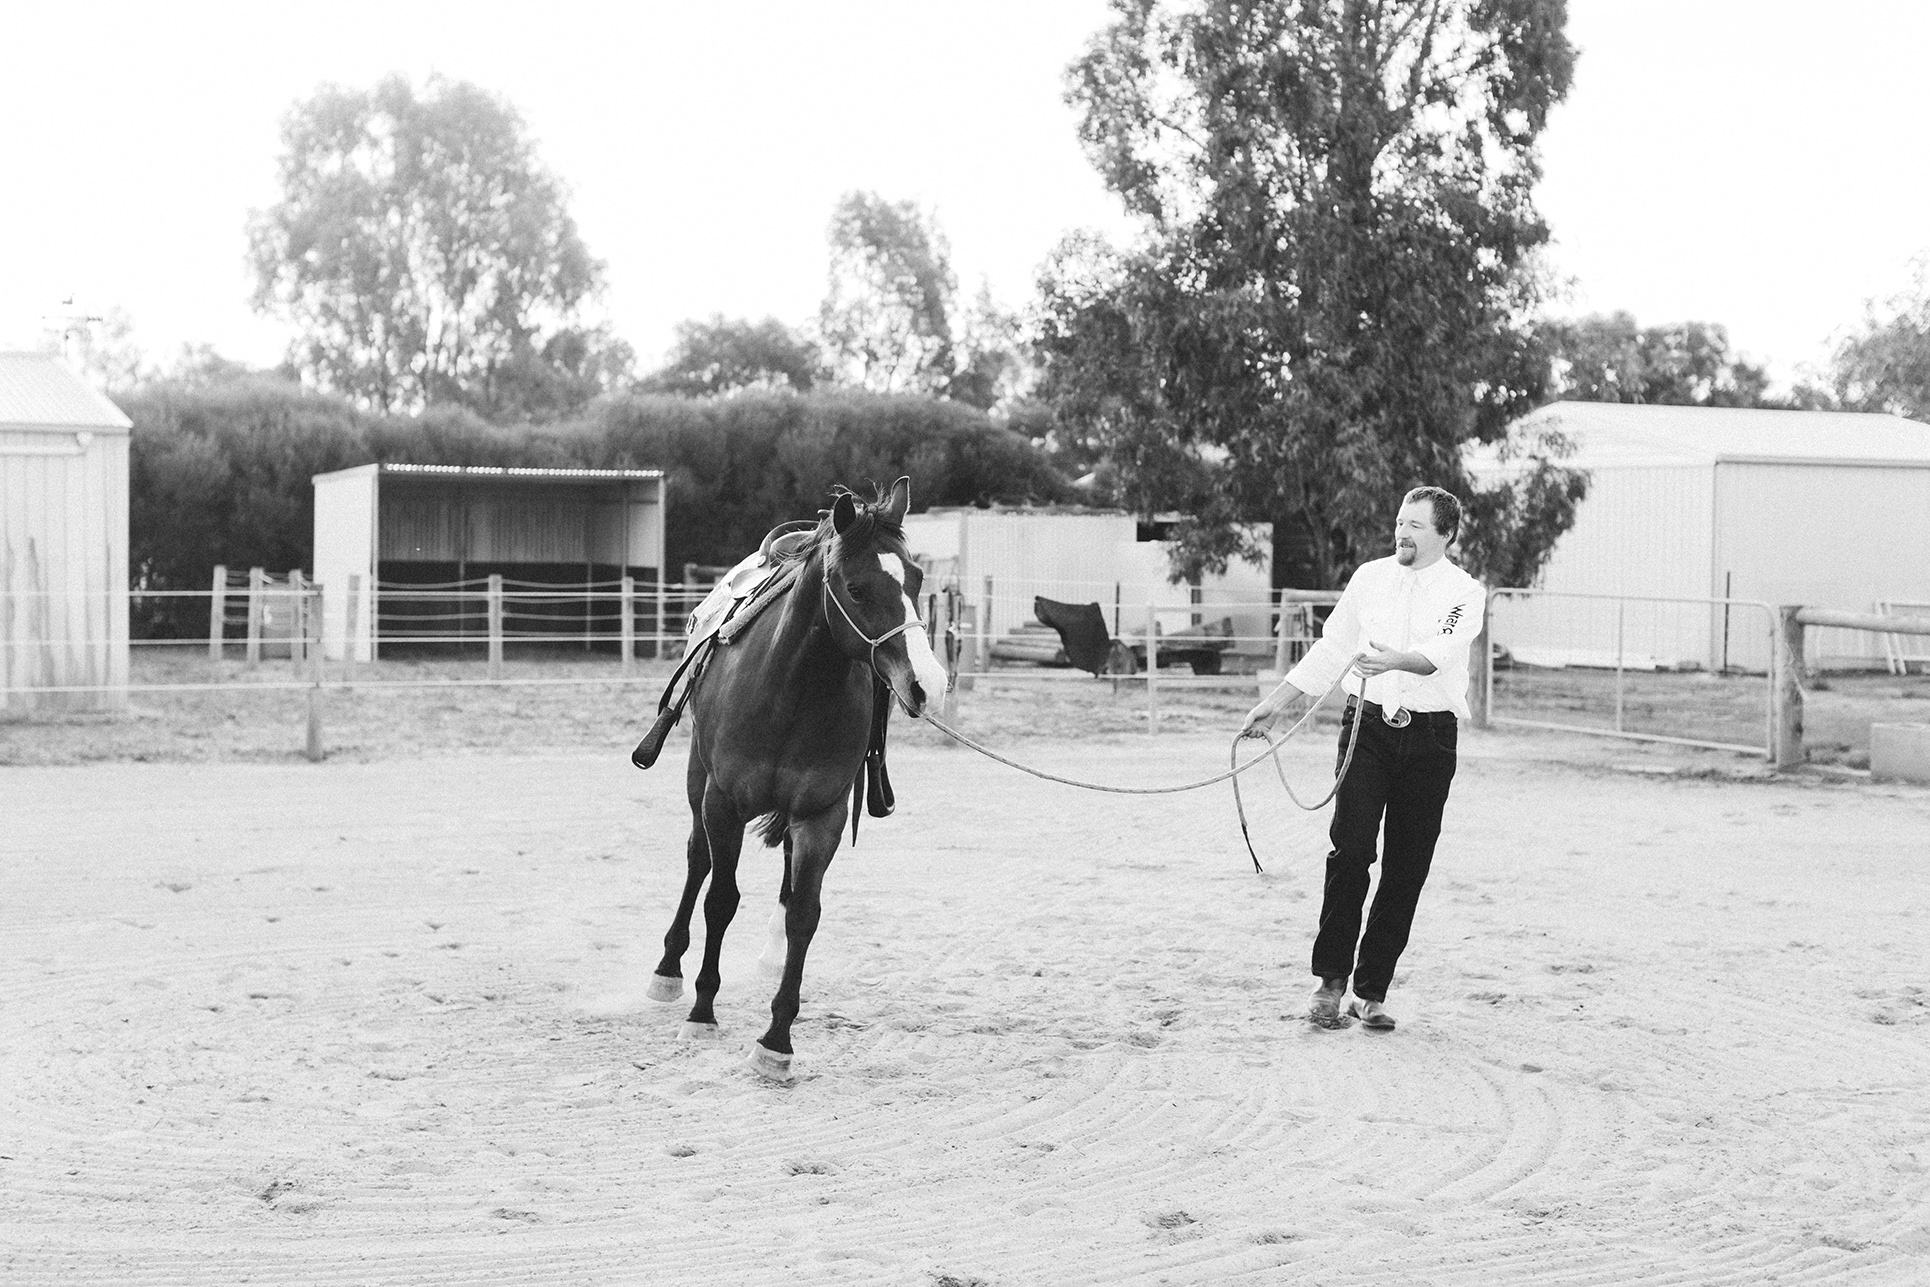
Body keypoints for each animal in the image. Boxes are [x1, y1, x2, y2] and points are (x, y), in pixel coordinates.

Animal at [644, 478, 953, 1080]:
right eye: (855, 589)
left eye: (916, 579)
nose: (928, 684)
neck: (790, 689)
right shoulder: (724, 802)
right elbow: (720, 898)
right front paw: (702, 1010)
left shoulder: (821, 814)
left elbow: (805, 917)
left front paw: (777, 1039)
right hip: (697, 779)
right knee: (697, 860)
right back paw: (667, 971)